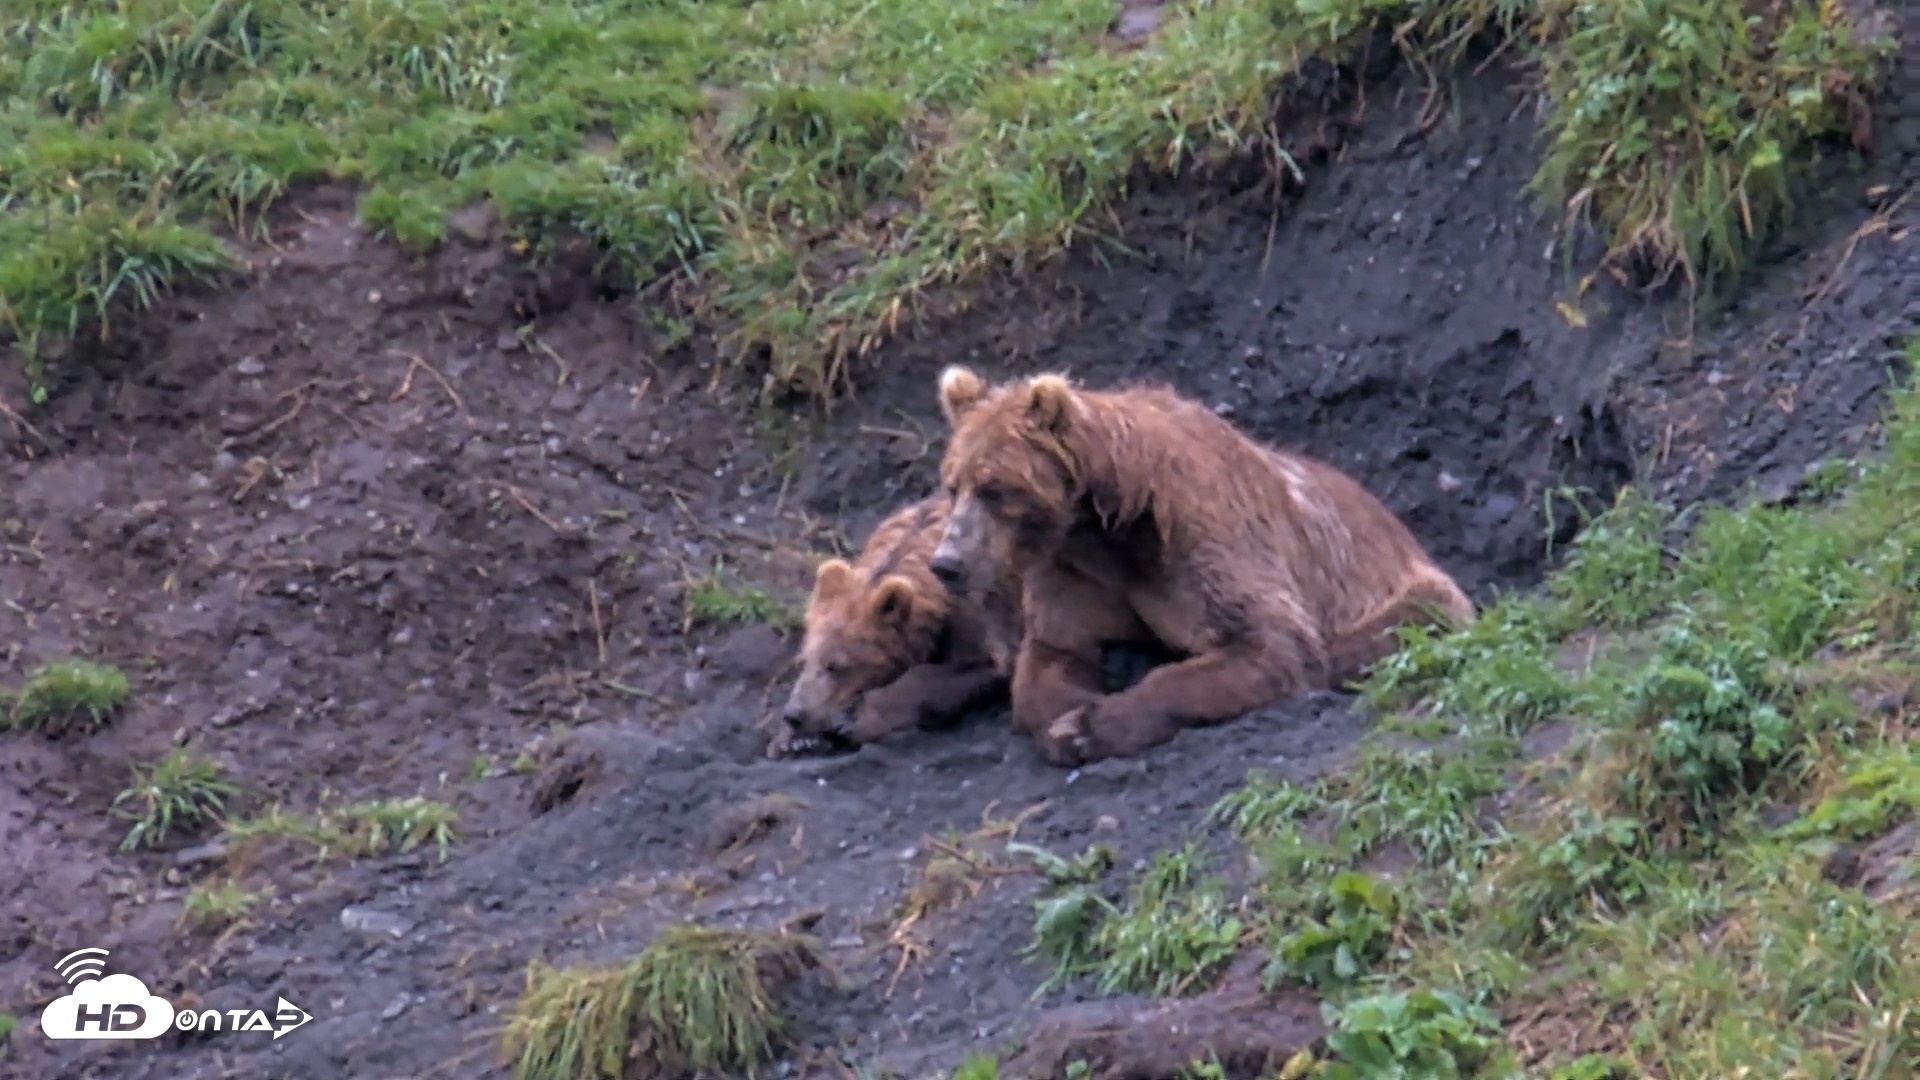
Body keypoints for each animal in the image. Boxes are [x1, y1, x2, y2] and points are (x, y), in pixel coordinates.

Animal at [927, 364, 1476, 767]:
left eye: (995, 489)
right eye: (953, 486)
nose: (947, 564)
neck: (1111, 530)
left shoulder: (1208, 543)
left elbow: (1268, 642)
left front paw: (1094, 725)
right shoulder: (1075, 574)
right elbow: (1052, 656)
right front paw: (1066, 716)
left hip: (1402, 580)